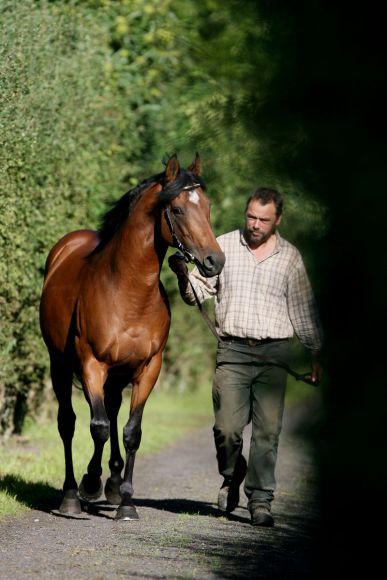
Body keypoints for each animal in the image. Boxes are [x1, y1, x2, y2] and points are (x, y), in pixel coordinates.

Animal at [39, 154, 226, 520]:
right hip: (61, 365)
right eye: (178, 209)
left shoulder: (148, 368)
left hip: (116, 373)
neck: (127, 289)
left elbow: (131, 432)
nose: (215, 261)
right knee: (69, 423)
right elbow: (97, 427)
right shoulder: (92, 364)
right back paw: (72, 494)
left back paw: (111, 485)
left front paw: (125, 502)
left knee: (111, 412)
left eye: (208, 205)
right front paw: (90, 483)